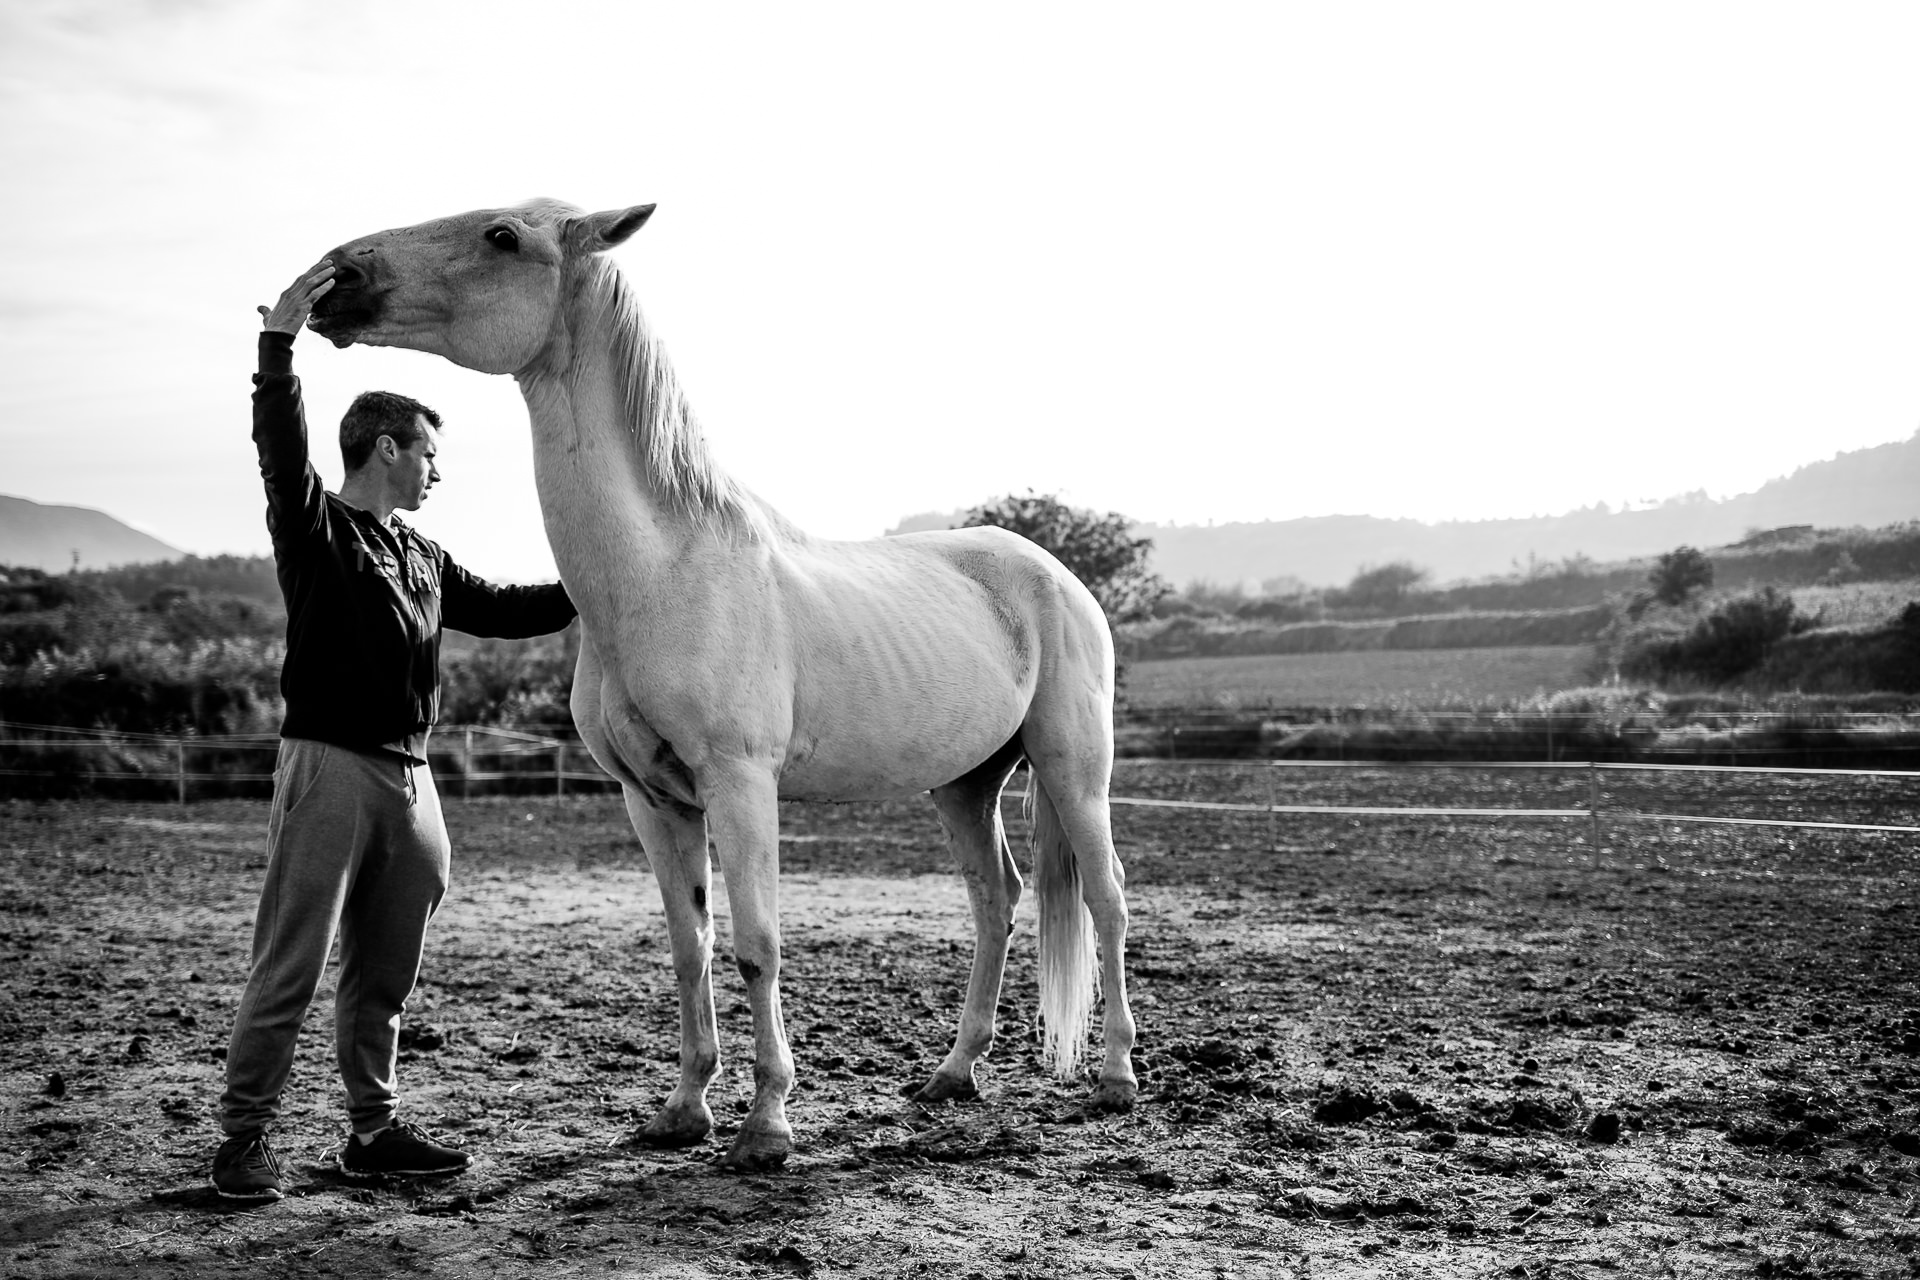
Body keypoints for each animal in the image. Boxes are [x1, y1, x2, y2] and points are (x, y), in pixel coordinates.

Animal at [307, 200, 1128, 1174]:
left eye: (502, 235)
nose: (339, 276)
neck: (664, 571)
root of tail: (1056, 575)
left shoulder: (741, 786)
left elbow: (754, 946)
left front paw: (766, 1125)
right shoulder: (653, 801)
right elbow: (689, 947)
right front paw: (685, 1109)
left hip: (1073, 768)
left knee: (1107, 899)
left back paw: (1116, 1077)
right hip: (967, 784)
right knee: (996, 902)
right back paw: (953, 1074)